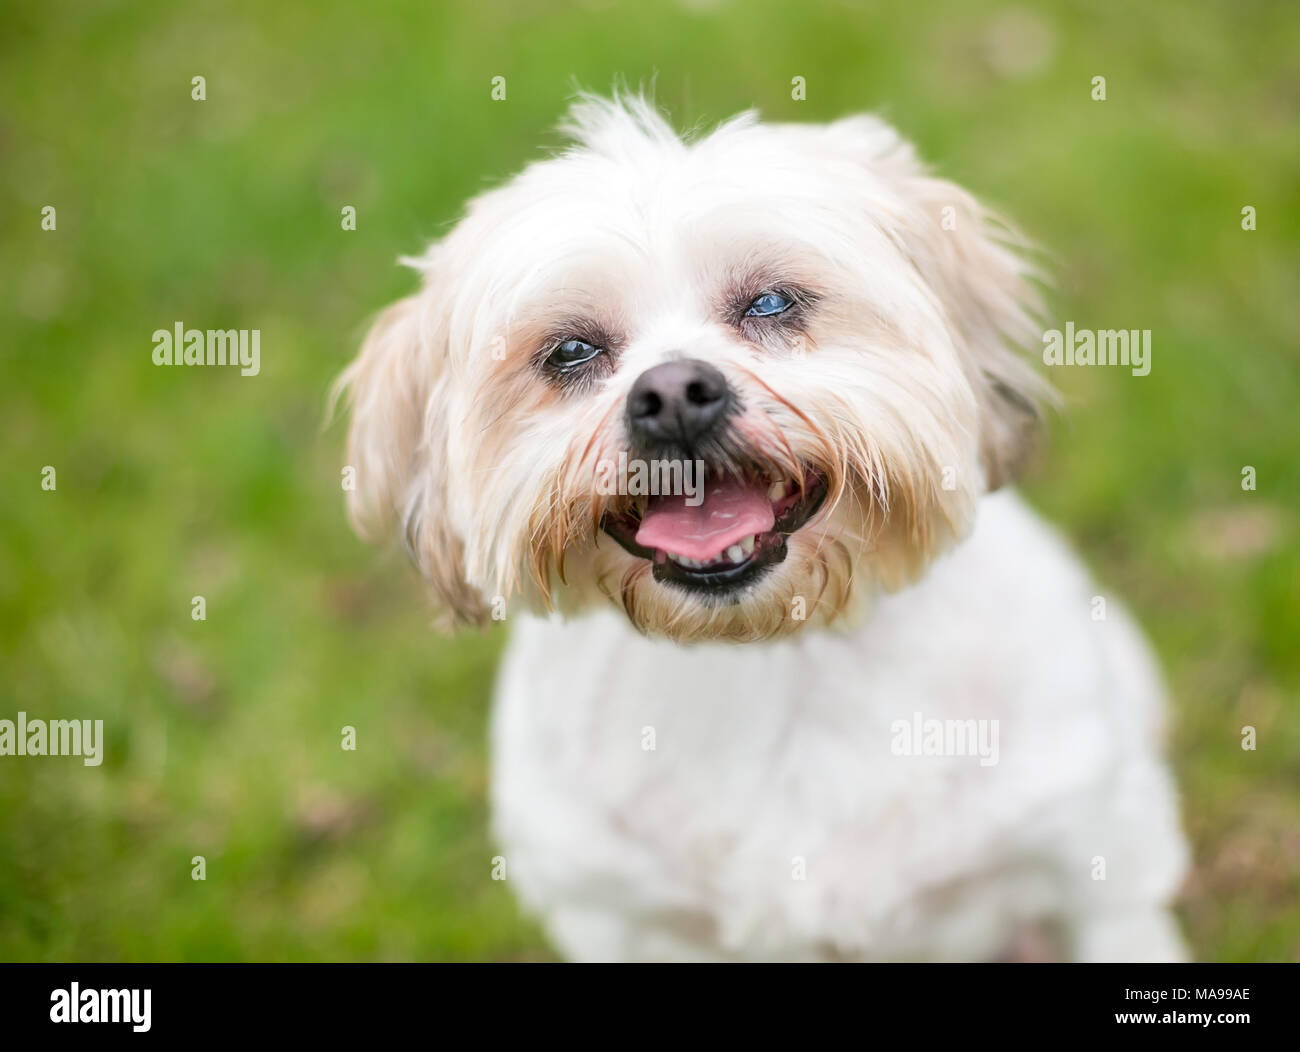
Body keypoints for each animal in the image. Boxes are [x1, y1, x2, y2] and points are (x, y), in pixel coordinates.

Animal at [340, 96, 1190, 962]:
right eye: (571, 351)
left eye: (772, 303)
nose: (672, 395)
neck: (776, 651)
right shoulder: (613, 914)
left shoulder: (1101, 861)